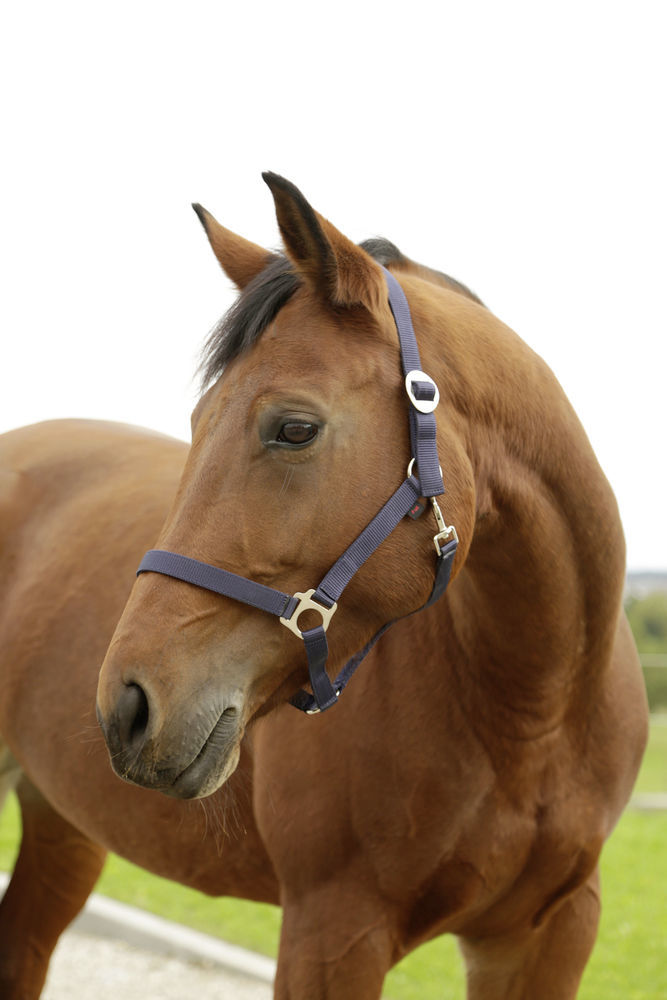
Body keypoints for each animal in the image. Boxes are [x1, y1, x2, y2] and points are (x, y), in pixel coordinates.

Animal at [0, 173, 648, 999]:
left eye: (294, 429)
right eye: (196, 421)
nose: (129, 706)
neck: (531, 717)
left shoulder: (547, 937)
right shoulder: (332, 932)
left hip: (63, 823)